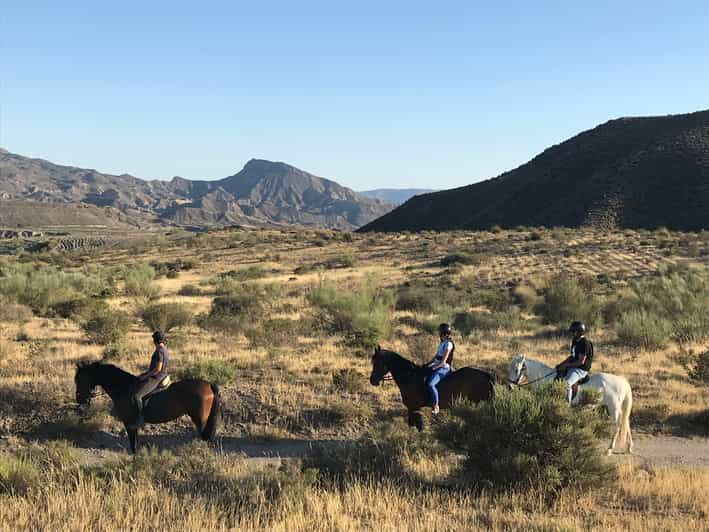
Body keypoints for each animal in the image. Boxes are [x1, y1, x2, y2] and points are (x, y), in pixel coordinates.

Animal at [73, 362, 220, 454]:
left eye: (80, 379)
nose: (79, 399)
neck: (123, 388)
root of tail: (208, 384)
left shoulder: (129, 423)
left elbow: (132, 444)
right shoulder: (133, 425)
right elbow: (135, 443)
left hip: (200, 420)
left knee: (206, 438)